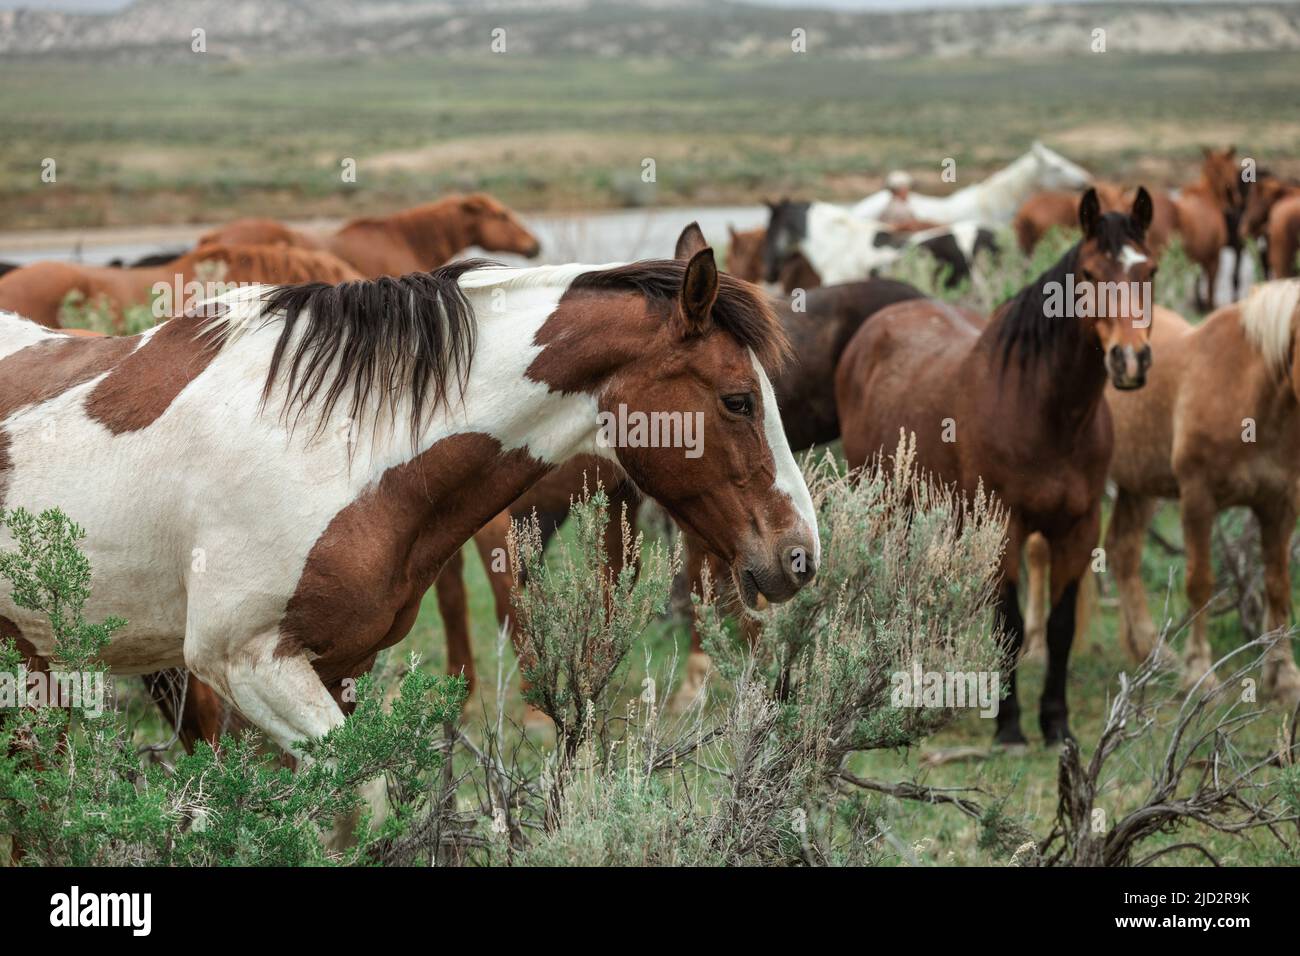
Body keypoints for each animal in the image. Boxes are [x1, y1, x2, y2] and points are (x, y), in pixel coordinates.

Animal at [835, 188, 1157, 744]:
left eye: (1150, 270)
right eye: (1090, 273)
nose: (1130, 360)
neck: (1046, 412)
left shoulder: (1078, 527)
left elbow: (1059, 626)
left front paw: (1056, 723)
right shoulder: (1006, 524)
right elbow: (1008, 623)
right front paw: (1009, 726)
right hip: (881, 499)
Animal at [1097, 282, 1300, 709]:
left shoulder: (1280, 505)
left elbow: (1277, 585)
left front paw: (1284, 677)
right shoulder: (1198, 498)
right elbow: (1200, 583)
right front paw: (1200, 674)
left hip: (1139, 486)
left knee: (1123, 552)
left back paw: (1155, 655)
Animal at [1173, 146, 1241, 313]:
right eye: (1234, 169)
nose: (1237, 200)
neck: (1209, 196)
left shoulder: (1201, 256)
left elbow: (1198, 280)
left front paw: (1200, 304)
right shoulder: (1213, 257)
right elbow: (1210, 287)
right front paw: (1209, 308)